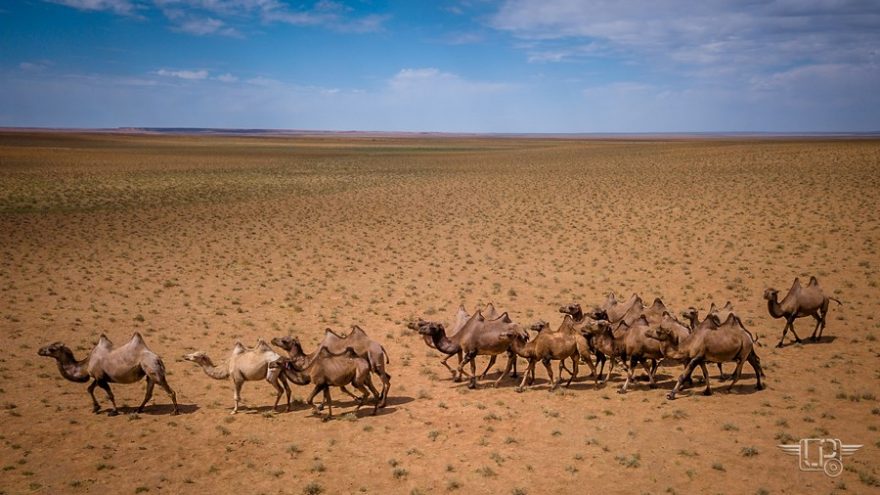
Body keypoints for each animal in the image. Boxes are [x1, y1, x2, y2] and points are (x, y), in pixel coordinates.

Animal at [39, 334, 179, 418]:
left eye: (52, 349)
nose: (39, 350)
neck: (87, 363)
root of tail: (158, 359)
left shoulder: (100, 378)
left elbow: (110, 395)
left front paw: (113, 411)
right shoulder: (98, 377)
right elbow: (89, 389)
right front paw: (96, 408)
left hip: (153, 371)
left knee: (170, 391)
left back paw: (175, 411)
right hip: (149, 374)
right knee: (148, 394)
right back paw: (138, 410)